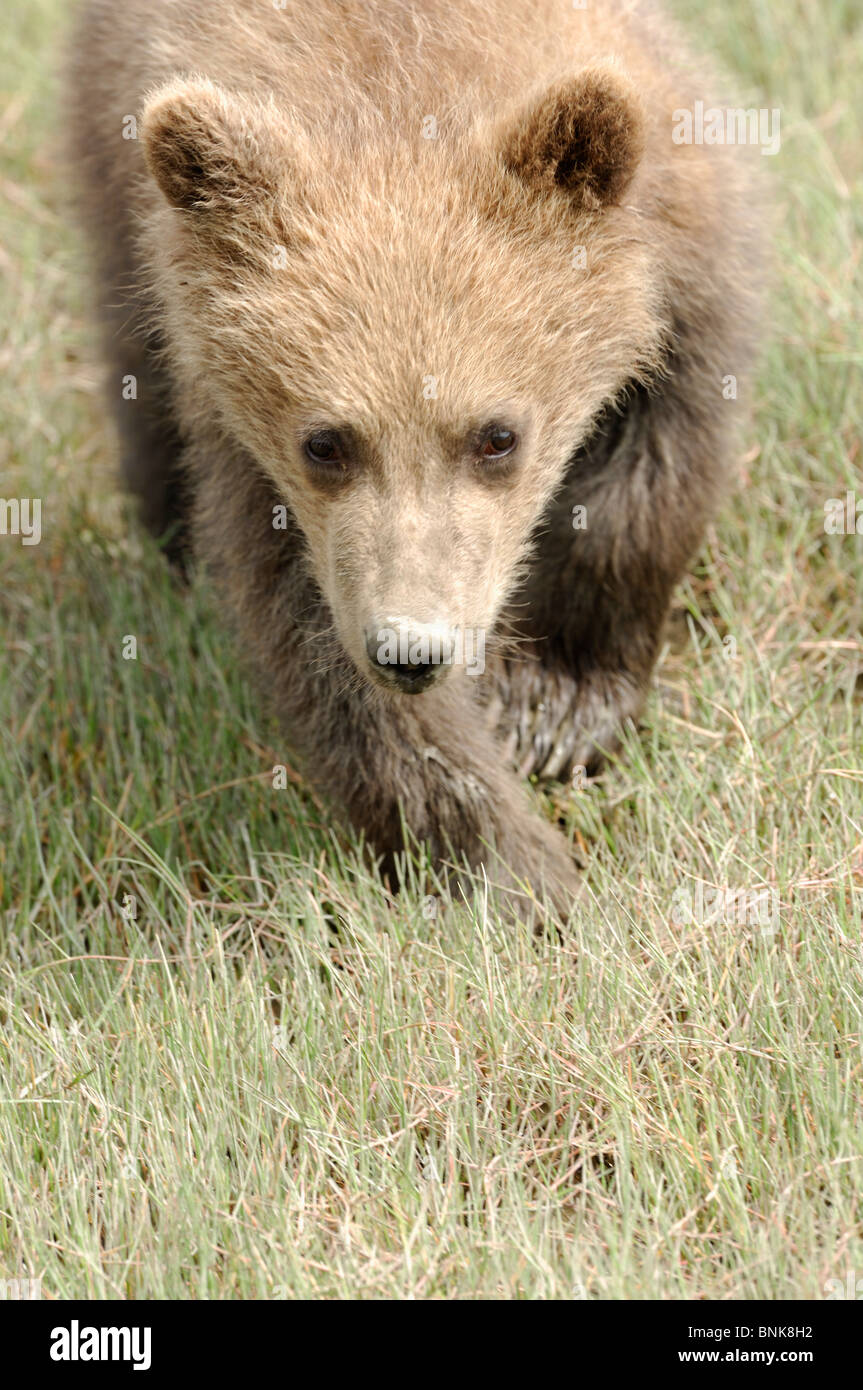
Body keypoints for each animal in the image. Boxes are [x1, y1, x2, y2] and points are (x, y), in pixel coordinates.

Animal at [69, 5, 761, 928]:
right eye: (325, 441)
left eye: (497, 435)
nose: (411, 651)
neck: (405, 83)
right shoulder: (259, 464)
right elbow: (315, 638)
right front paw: (511, 871)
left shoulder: (685, 262)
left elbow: (649, 483)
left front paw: (555, 704)